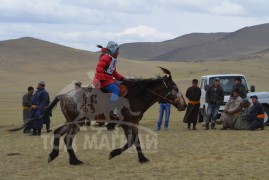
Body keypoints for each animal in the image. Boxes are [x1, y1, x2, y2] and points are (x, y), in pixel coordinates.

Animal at [9, 67, 185, 165]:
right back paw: (74, 161)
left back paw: (56, 156)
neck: (136, 95)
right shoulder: (126, 122)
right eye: (175, 88)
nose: (184, 105)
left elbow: (135, 141)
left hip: (71, 121)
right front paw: (113, 153)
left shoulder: (133, 122)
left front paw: (142, 159)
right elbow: (131, 141)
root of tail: (64, 95)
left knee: (59, 133)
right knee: (67, 138)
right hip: (76, 122)